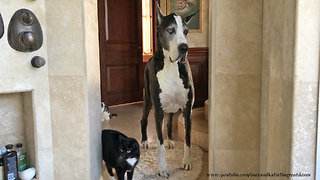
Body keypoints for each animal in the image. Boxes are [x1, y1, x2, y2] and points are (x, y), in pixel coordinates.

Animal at [139, 2, 194, 177]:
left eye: (186, 31)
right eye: (170, 30)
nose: (184, 48)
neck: (171, 66)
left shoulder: (187, 109)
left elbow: (188, 139)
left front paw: (187, 162)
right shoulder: (158, 110)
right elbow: (160, 143)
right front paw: (162, 167)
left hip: (171, 107)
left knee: (170, 123)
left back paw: (170, 140)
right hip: (149, 100)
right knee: (143, 119)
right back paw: (144, 141)